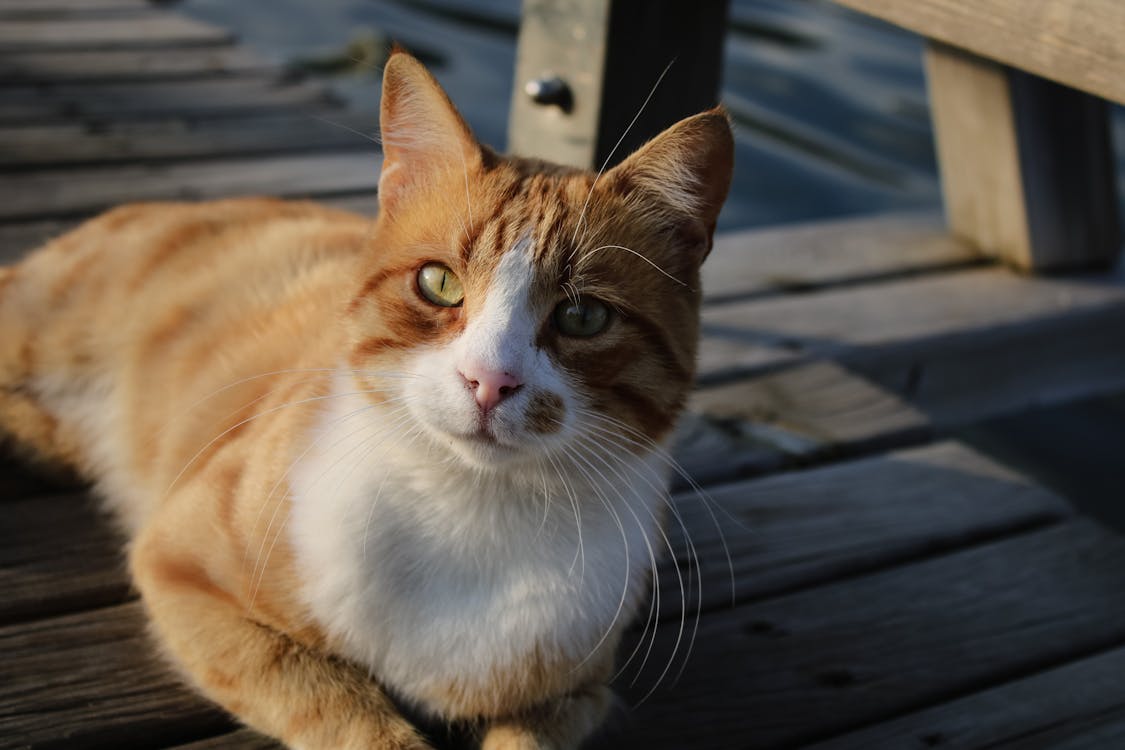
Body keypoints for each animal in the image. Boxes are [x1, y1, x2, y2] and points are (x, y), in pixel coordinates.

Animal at [0, 52, 733, 750]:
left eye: (583, 317)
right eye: (438, 283)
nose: (489, 380)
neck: (470, 514)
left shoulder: (576, 694)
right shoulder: (182, 570)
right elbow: (338, 705)